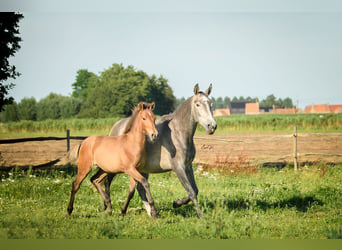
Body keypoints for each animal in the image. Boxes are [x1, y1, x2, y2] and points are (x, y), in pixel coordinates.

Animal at [105, 84, 216, 219]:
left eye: (210, 104)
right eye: (197, 104)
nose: (212, 126)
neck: (178, 133)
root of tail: (116, 126)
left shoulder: (188, 166)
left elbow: (195, 190)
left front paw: (177, 203)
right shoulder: (178, 168)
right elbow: (191, 192)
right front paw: (201, 217)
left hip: (142, 169)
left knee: (139, 188)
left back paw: (152, 213)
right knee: (107, 181)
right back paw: (107, 208)